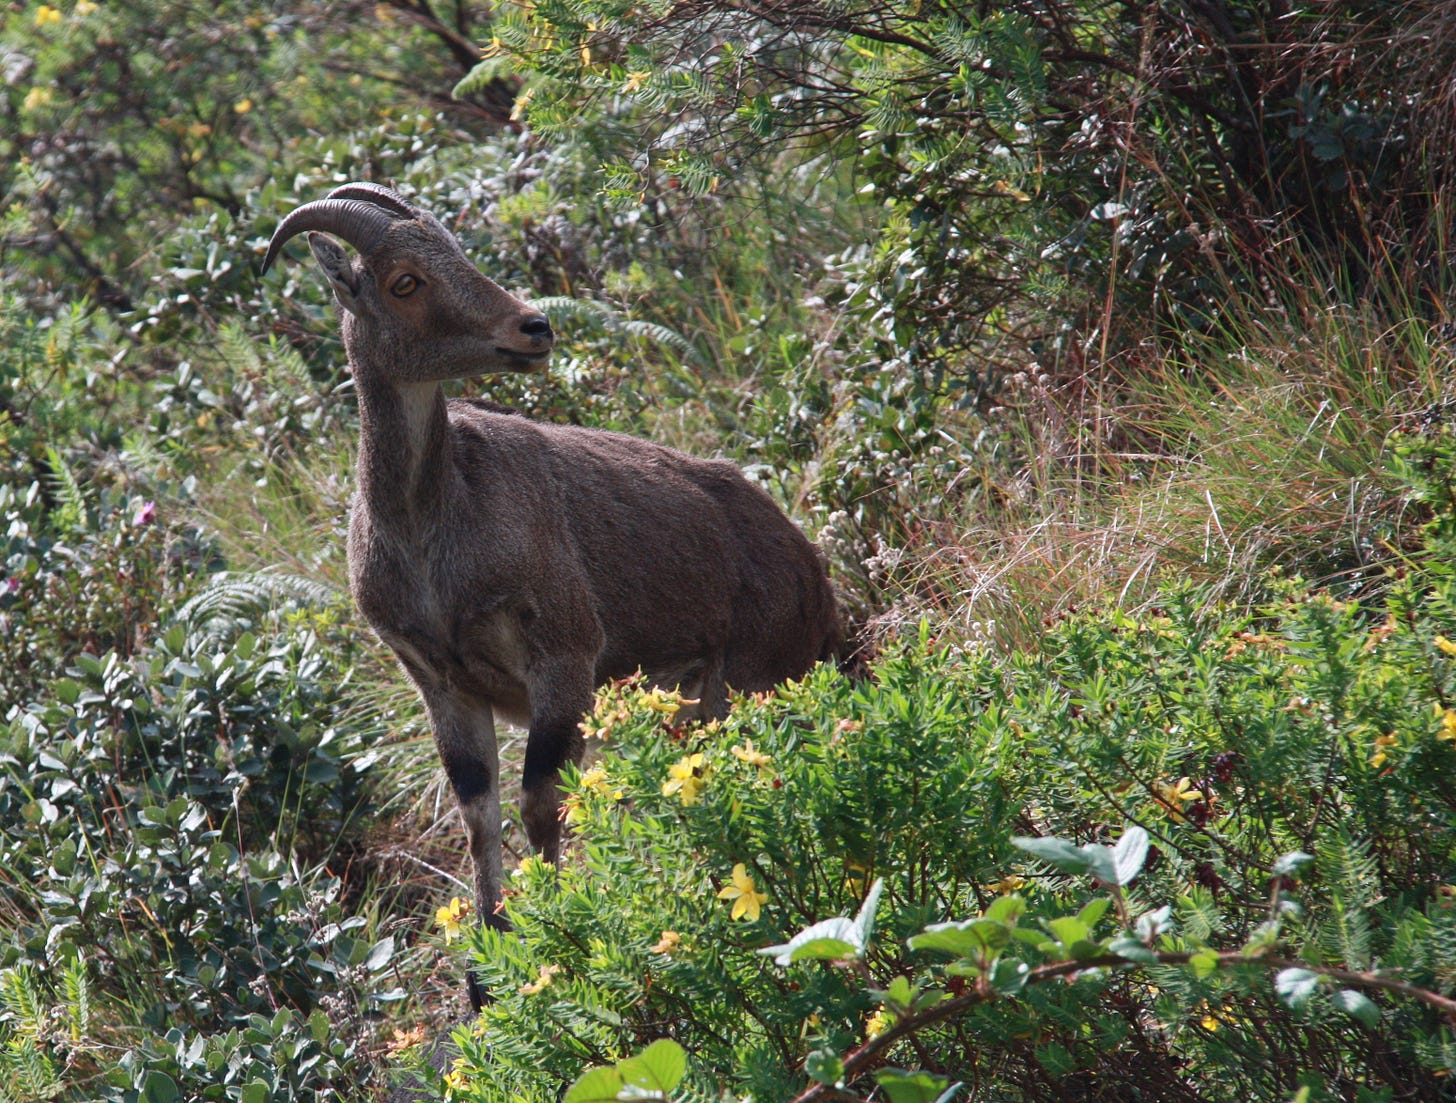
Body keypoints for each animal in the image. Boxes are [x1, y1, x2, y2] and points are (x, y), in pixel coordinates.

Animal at [261, 183, 843, 1008]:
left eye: (459, 250)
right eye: (405, 280)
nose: (533, 327)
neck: (433, 535)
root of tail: (814, 578)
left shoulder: (563, 655)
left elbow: (543, 799)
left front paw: (557, 939)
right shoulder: (440, 680)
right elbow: (479, 810)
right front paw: (485, 968)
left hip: (748, 681)